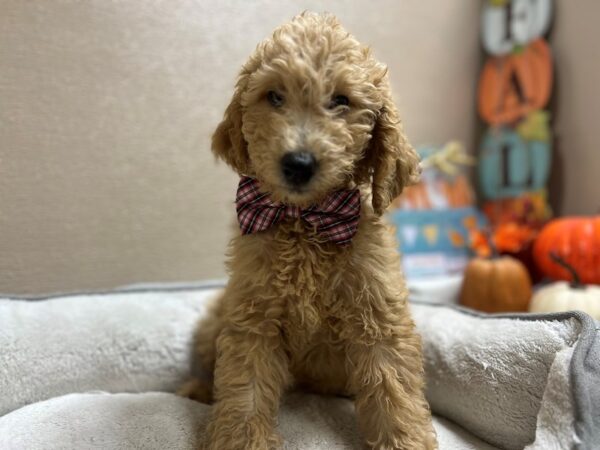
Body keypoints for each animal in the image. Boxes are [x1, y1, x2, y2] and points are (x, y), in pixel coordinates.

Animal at [182, 11, 436, 450]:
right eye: (274, 96)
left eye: (341, 101)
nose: (298, 163)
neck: (307, 221)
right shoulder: (253, 317)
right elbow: (244, 391)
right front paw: (240, 440)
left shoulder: (379, 316)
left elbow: (394, 390)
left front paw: (406, 440)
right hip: (214, 319)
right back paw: (195, 390)